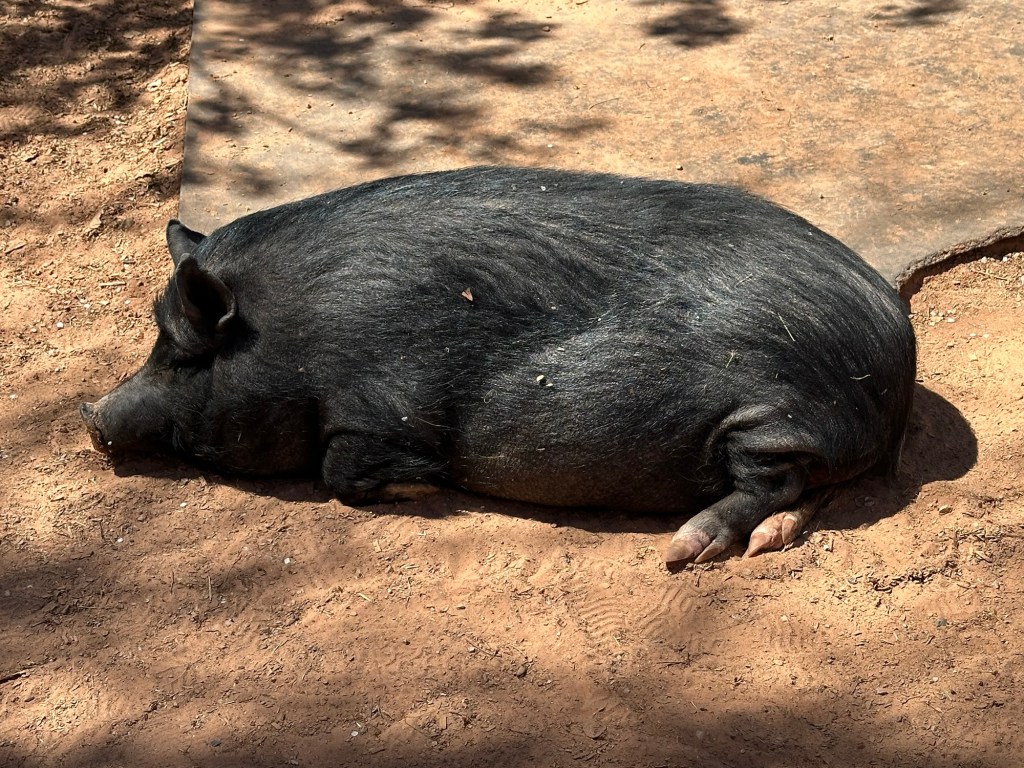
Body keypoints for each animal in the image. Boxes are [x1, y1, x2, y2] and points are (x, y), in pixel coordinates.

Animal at [80, 167, 916, 565]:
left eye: (183, 352)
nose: (90, 415)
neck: (293, 334)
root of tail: (896, 358)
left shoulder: (387, 405)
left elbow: (342, 471)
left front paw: (419, 487)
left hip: (772, 419)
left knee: (776, 484)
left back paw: (684, 551)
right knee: (805, 496)